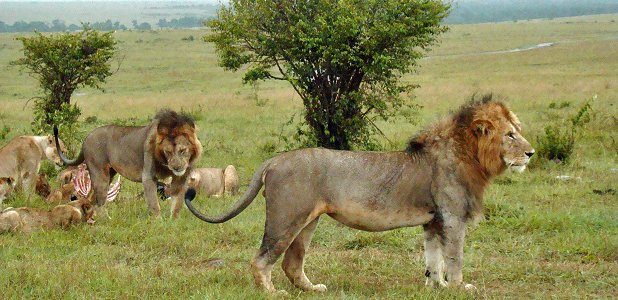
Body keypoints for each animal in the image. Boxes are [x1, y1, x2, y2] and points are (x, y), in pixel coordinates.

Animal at [54, 109, 201, 217]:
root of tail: (87, 137)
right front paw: (159, 222)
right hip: (99, 173)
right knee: (99, 200)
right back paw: (106, 220)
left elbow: (177, 203)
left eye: (182, 150)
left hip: (110, 173)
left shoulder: (181, 178)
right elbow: (154, 204)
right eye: (168, 152)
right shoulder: (148, 176)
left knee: (92, 199)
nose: (177, 167)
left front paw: (173, 221)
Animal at [184, 95, 536, 294]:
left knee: (292, 263)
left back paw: (312, 288)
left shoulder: (434, 220)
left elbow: (433, 258)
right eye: (510, 135)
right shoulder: (452, 217)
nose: (531, 153)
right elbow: (455, 258)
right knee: (261, 260)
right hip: (287, 218)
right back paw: (272, 293)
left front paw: (436, 286)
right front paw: (460, 287)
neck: (470, 156)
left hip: (307, 221)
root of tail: (272, 160)